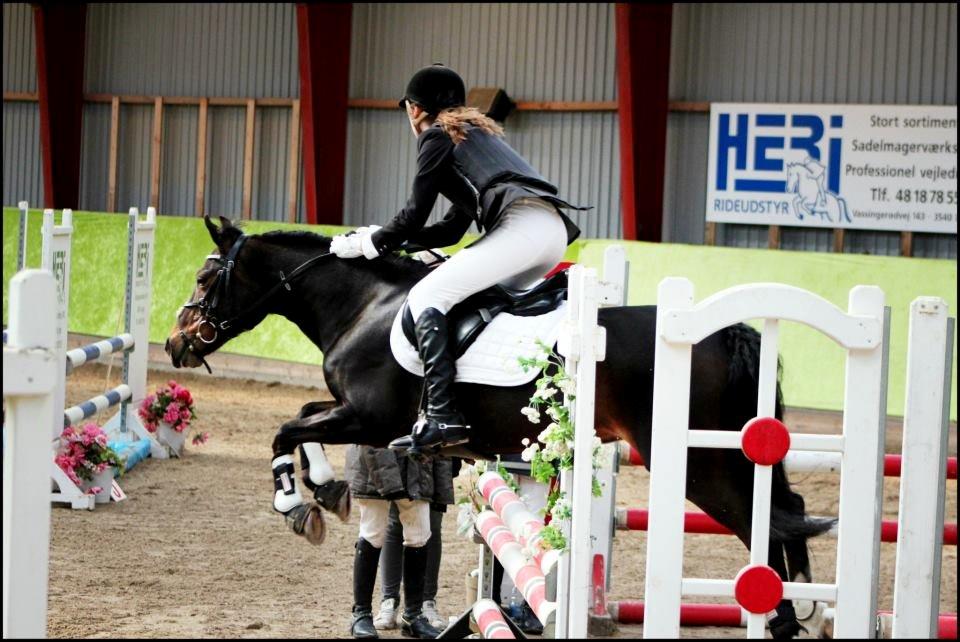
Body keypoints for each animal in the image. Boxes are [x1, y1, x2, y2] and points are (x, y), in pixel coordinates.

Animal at [169, 215, 836, 636]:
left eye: (205, 279)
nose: (177, 344)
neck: (365, 306)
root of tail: (725, 331)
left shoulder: (370, 416)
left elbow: (286, 431)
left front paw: (295, 503)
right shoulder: (366, 421)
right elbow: (304, 421)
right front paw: (327, 489)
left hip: (694, 462)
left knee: (760, 525)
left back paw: (784, 615)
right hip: (730, 453)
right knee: (788, 509)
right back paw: (803, 611)